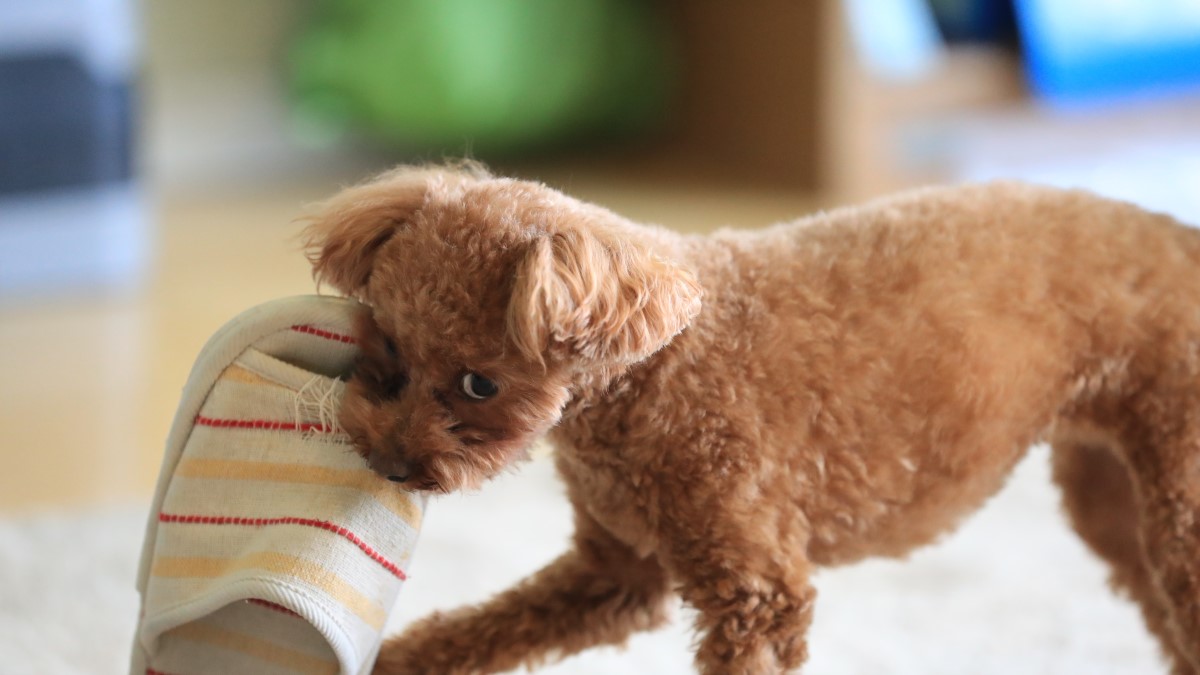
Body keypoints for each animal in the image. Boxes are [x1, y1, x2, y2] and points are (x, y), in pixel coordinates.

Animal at [304, 163, 1200, 672]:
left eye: (479, 384)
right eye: (388, 342)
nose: (388, 463)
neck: (648, 375)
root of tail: (1179, 234)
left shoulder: (758, 593)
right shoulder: (616, 577)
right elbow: (475, 631)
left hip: (1177, 497)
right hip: (1114, 500)